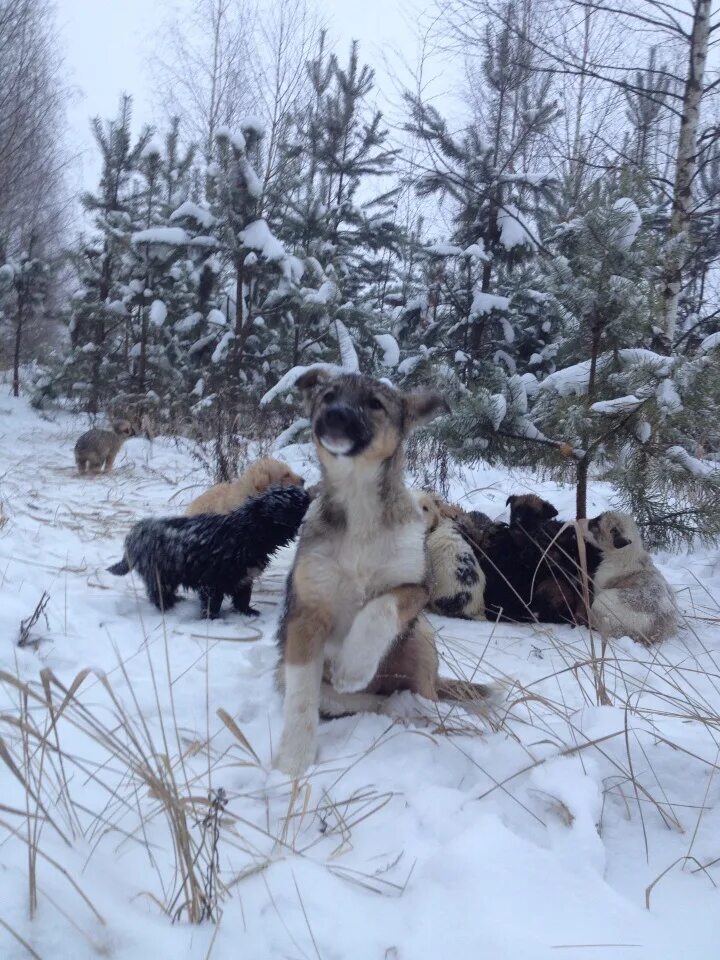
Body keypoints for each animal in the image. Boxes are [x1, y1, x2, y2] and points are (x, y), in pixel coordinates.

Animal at [108, 484, 310, 620]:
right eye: (300, 503)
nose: (310, 494)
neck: (247, 531)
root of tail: (133, 534)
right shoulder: (212, 580)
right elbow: (213, 604)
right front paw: (212, 620)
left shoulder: (244, 577)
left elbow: (243, 597)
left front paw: (247, 612)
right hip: (159, 574)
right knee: (158, 594)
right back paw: (169, 607)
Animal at [584, 510, 676, 644]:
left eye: (595, 525)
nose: (582, 522)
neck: (628, 555)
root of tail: (653, 632)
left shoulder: (599, 585)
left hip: (602, 600)